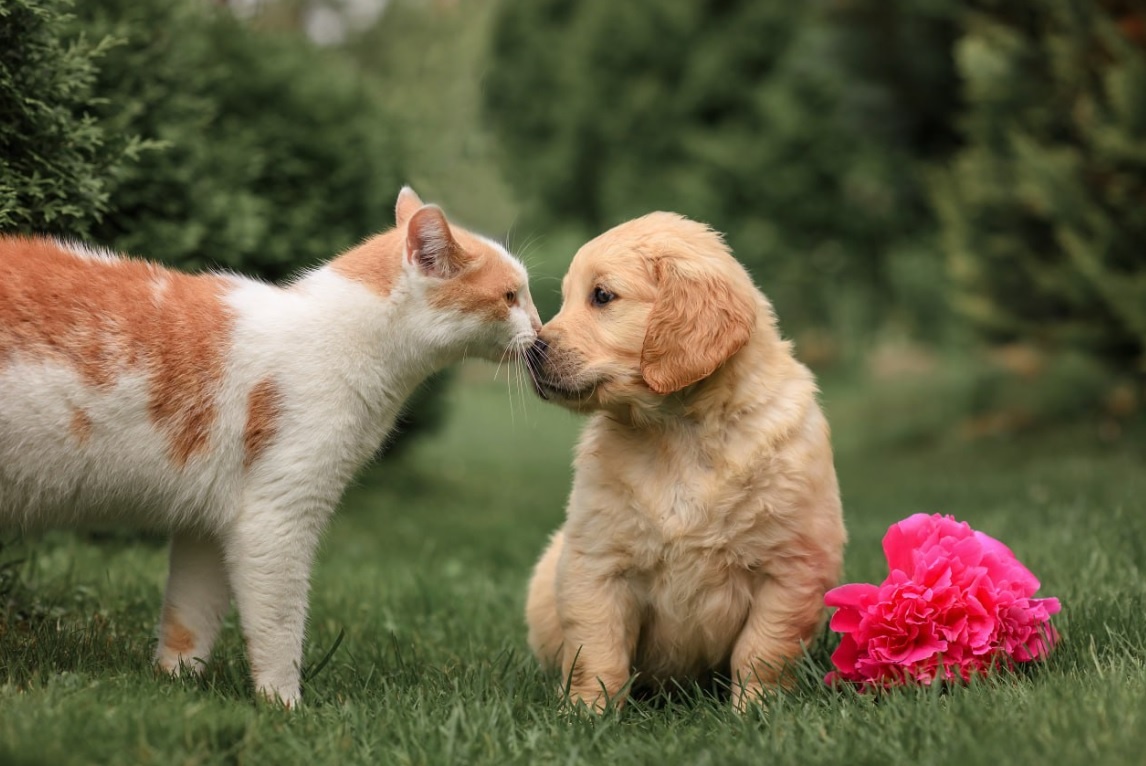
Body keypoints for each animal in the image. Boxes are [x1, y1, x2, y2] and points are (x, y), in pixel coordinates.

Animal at [0, 186, 540, 706]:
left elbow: (189, 620)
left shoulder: (208, 522)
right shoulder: (276, 516)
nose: (539, 330)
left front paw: (173, 687)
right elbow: (280, 628)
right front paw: (284, 706)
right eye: (511, 296)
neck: (344, 338)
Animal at [524, 210, 848, 710]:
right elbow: (597, 650)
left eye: (602, 296)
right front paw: (585, 713)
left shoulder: (791, 566)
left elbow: (762, 649)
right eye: (566, 298)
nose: (529, 351)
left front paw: (758, 710)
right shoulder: (595, 561)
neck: (678, 431)